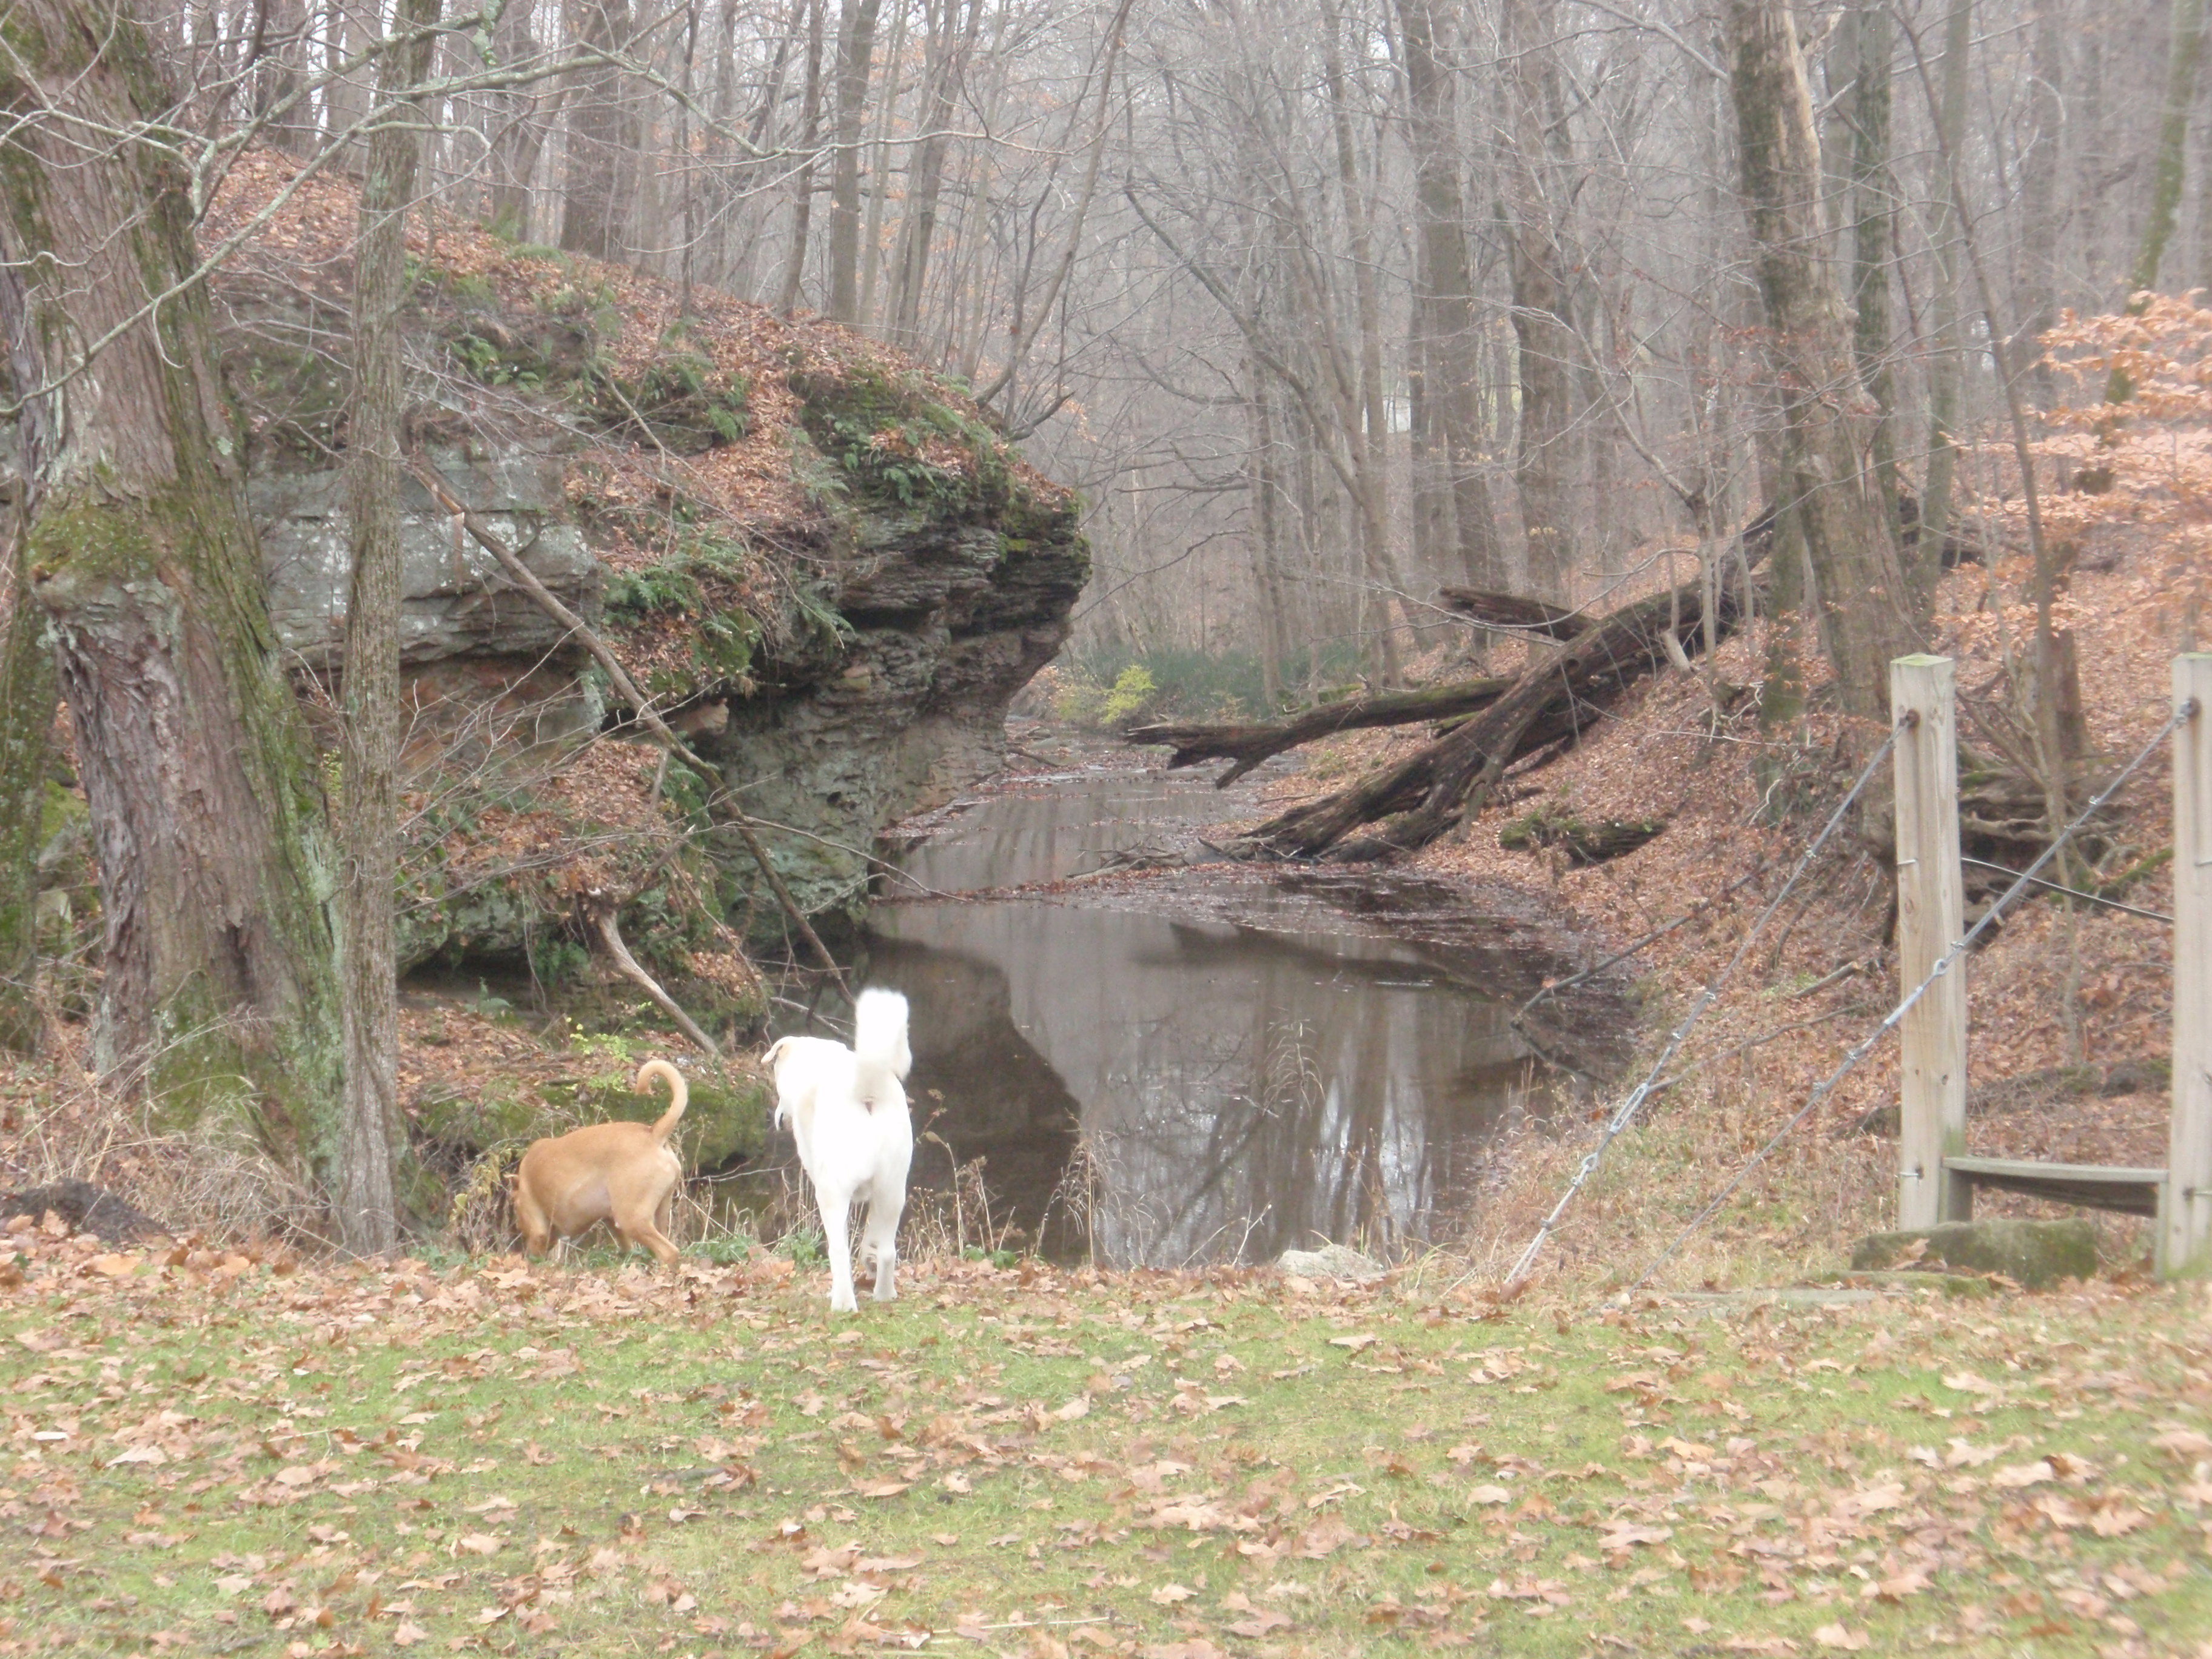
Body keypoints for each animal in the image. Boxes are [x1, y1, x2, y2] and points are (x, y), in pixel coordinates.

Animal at [512, 1059, 688, 1266]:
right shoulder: (613, 1223)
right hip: (659, 1214)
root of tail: (654, 1133)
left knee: (669, 1252)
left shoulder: (538, 1231)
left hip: (633, 1219)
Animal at [762, 989, 914, 1312]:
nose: (778, 1117)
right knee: (887, 1251)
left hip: (832, 1193)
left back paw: (843, 1303)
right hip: (893, 1190)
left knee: (839, 1251)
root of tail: (866, 1090)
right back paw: (884, 1294)